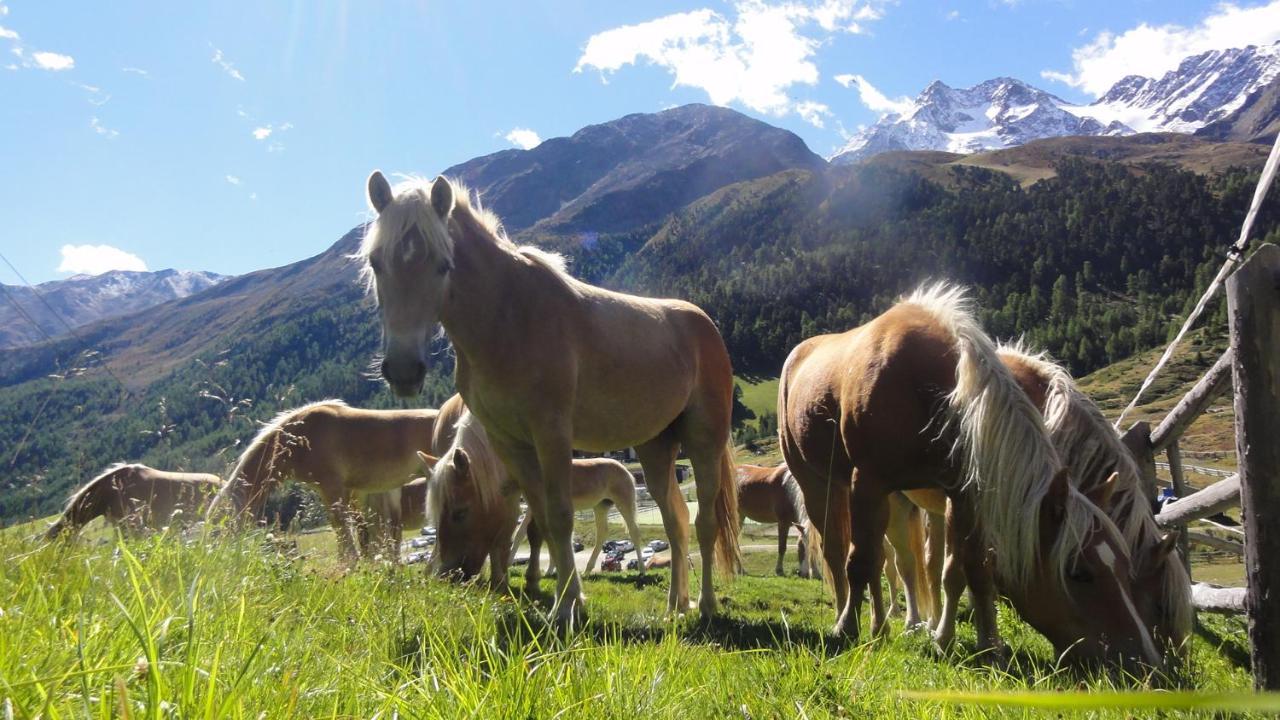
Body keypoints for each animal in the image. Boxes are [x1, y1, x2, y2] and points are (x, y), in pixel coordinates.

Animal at [204, 397, 435, 561]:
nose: (219, 555)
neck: (300, 436)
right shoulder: (353, 492)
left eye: (221, 524)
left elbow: (344, 534)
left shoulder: (332, 489)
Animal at [509, 458, 650, 576]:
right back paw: (587, 571)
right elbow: (520, 534)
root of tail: (626, 471)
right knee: (602, 533)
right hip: (601, 506)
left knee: (634, 532)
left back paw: (642, 570)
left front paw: (552, 570)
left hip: (624, 502)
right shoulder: (533, 509)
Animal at [773, 281, 1167, 666]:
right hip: (821, 486)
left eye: (1126, 570)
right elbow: (860, 560)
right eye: (1079, 572)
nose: (1148, 661)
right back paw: (855, 619)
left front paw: (983, 645)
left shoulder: (965, 495)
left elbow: (969, 569)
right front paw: (850, 629)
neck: (932, 391)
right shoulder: (867, 483)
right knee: (840, 554)